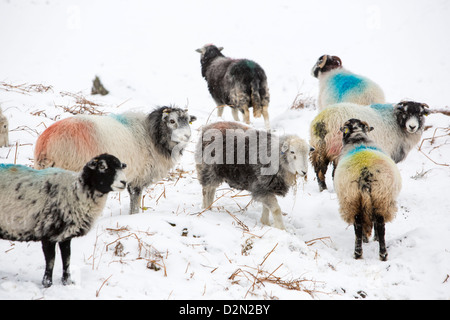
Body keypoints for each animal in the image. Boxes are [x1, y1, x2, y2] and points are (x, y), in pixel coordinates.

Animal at [0, 153, 127, 288]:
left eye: (120, 166)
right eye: (102, 167)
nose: (124, 182)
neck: (75, 192)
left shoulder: (65, 236)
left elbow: (67, 259)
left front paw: (67, 282)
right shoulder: (48, 232)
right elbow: (51, 261)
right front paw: (47, 284)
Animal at [34, 106, 196, 214]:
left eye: (188, 121)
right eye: (172, 121)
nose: (187, 136)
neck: (153, 136)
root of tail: (47, 144)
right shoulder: (139, 177)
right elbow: (135, 199)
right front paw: (134, 215)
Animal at [332, 119, 402, 262]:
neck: (358, 137)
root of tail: (365, 175)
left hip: (354, 199)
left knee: (360, 225)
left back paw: (360, 252)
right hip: (380, 198)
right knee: (378, 225)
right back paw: (380, 253)